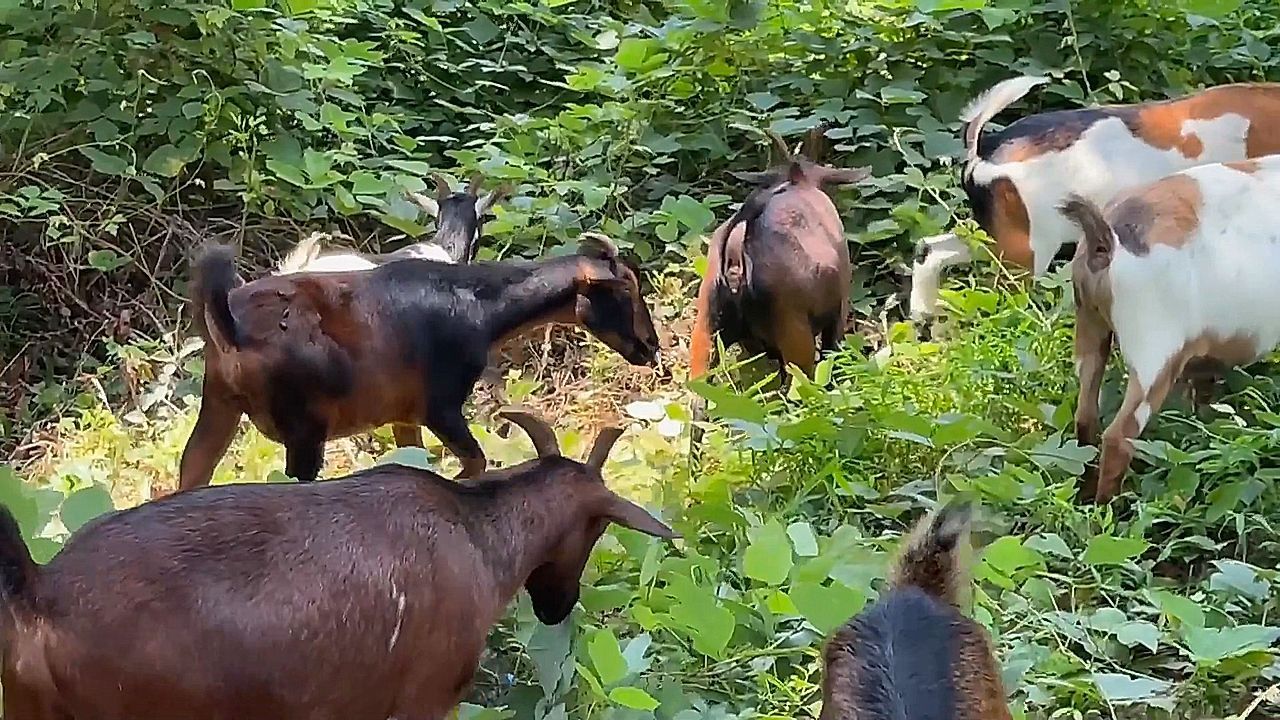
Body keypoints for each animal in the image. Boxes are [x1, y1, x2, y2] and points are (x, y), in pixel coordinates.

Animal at [179, 232, 660, 489]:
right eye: (624, 290)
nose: (650, 347)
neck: (481, 306)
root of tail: (231, 324)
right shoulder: (440, 406)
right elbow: (475, 463)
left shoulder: (403, 415)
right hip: (304, 430)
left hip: (220, 404)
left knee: (192, 470)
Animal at [1059, 155, 1280, 503]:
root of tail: (1107, 238)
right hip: (1155, 346)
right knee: (1119, 435)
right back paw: (1109, 510)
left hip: (1090, 327)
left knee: (1085, 416)